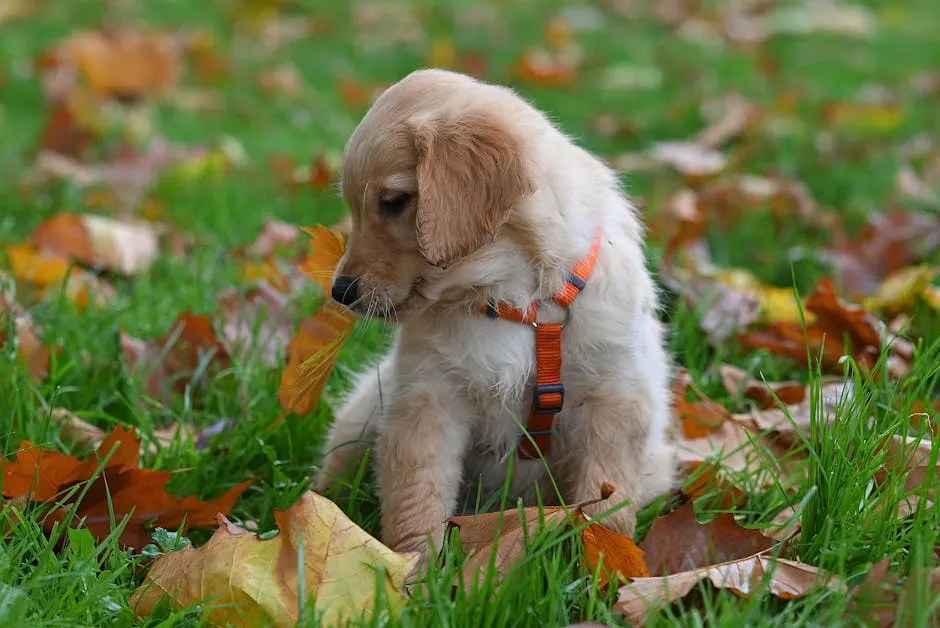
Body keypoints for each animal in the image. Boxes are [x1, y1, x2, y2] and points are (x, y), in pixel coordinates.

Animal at [316, 68, 676, 556]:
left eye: (393, 201)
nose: (341, 292)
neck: (514, 298)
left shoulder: (615, 399)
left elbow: (607, 500)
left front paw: (603, 562)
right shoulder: (427, 398)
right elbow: (417, 498)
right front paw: (412, 568)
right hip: (367, 409)